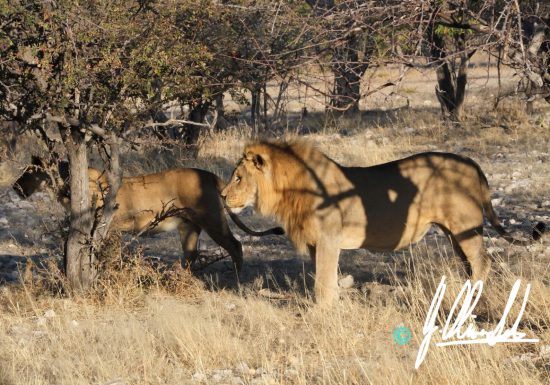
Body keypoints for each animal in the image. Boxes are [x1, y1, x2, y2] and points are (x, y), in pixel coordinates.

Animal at [222, 140, 544, 304]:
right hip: (455, 232)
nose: (222, 196)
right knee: (469, 264)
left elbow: (323, 282)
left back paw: (470, 300)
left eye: (238, 177)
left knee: (482, 262)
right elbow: (325, 278)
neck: (290, 189)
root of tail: (472, 163)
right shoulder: (316, 243)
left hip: (466, 228)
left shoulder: (329, 239)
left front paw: (323, 312)